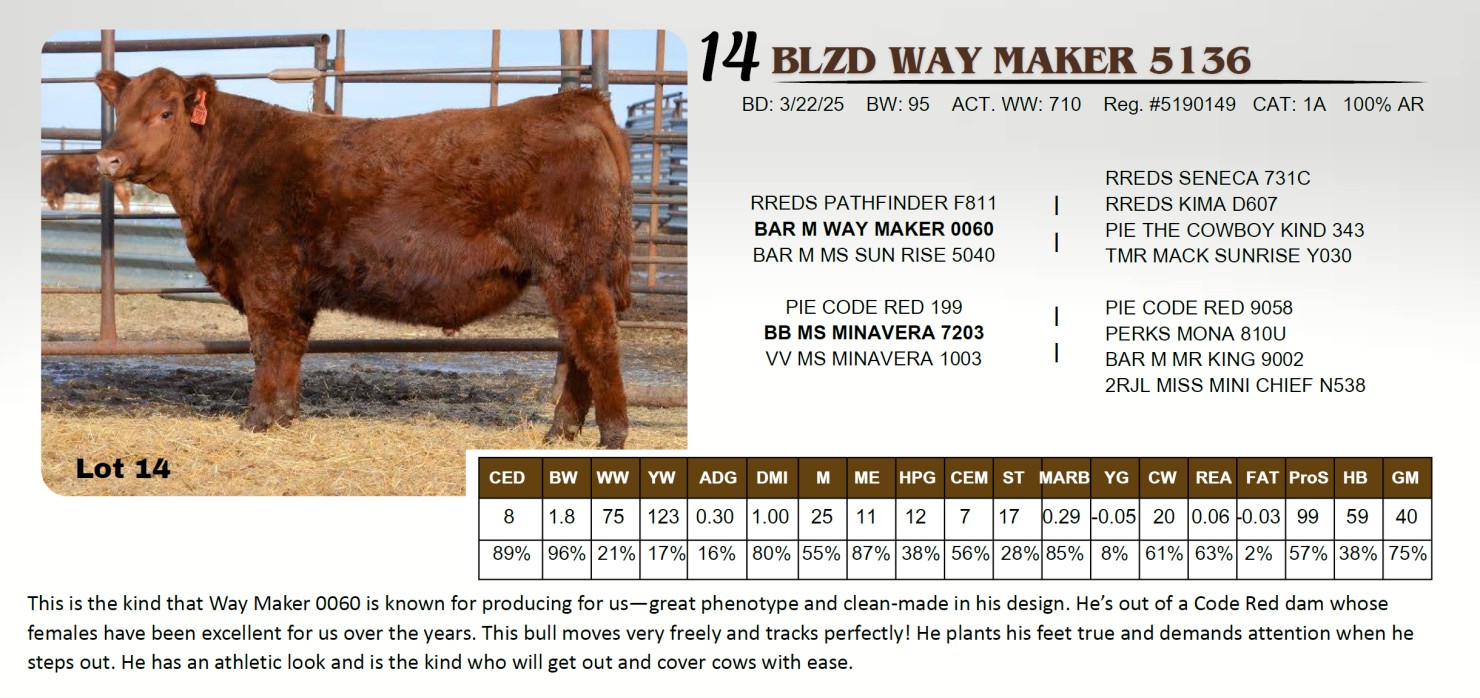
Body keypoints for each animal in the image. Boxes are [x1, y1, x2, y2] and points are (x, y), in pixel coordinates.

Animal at [95, 67, 633, 448]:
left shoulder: (265, 276)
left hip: (571, 266)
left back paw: (612, 436)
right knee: (576, 345)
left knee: (596, 340)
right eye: (119, 110)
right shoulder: (294, 288)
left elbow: (266, 345)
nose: (107, 158)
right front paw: (284, 417)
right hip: (571, 272)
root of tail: (575, 101)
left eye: (166, 113)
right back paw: (560, 432)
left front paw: (255, 420)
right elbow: (290, 348)